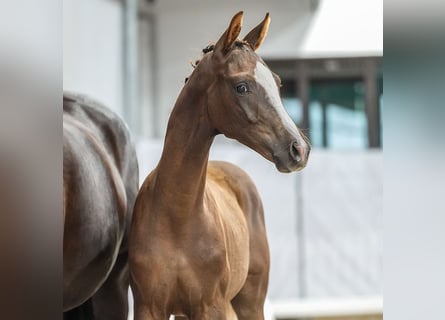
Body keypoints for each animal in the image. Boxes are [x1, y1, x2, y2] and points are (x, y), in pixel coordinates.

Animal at [128, 11, 308, 320]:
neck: (177, 216)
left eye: (278, 83)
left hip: (250, 302)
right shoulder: (148, 307)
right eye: (241, 86)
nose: (298, 149)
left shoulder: (211, 306)